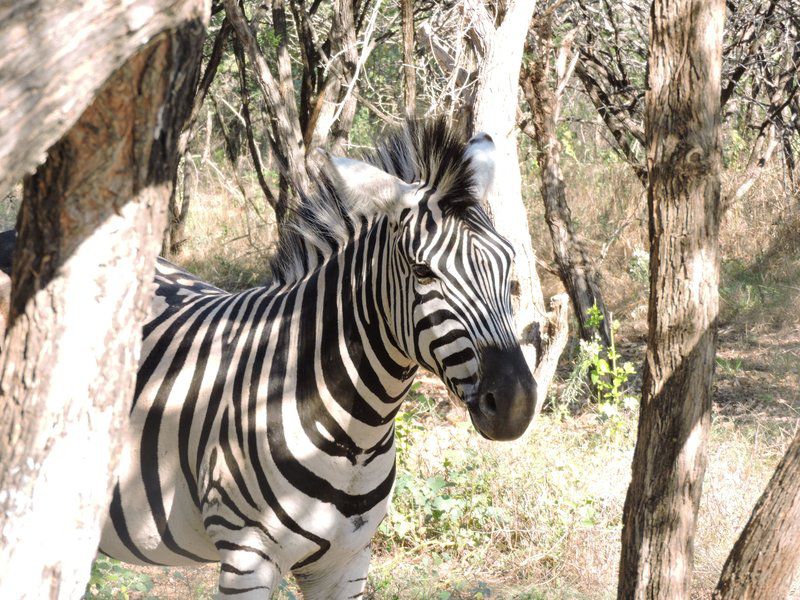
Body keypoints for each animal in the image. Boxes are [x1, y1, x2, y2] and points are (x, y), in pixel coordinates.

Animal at [100, 119, 536, 596]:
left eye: (509, 264)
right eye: (423, 271)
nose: (516, 404)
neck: (357, 437)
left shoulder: (347, 561)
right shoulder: (246, 559)